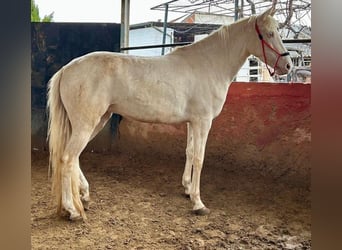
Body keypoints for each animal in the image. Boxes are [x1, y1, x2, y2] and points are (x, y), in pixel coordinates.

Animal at [47, 6, 292, 221]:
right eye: (269, 33)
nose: (288, 65)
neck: (208, 64)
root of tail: (66, 69)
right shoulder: (203, 122)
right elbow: (199, 158)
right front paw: (198, 203)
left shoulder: (192, 122)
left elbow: (189, 152)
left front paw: (187, 188)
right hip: (86, 124)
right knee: (67, 158)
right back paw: (72, 210)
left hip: (96, 121)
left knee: (74, 157)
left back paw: (84, 195)